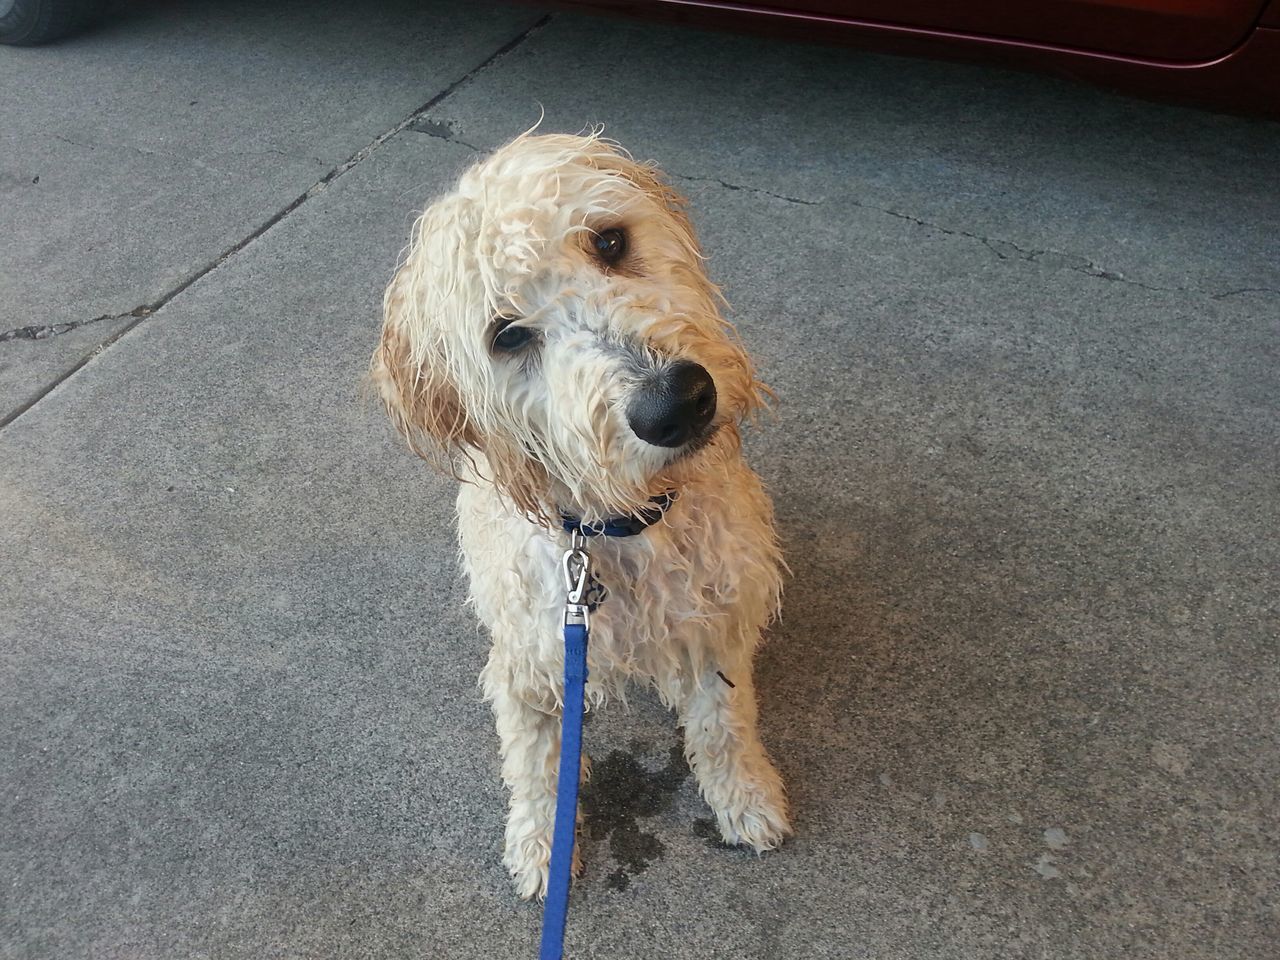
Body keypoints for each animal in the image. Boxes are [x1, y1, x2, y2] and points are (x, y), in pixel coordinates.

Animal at [371, 131, 788, 901]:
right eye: (506, 335)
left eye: (610, 240)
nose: (676, 402)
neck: (623, 528)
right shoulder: (526, 660)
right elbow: (534, 762)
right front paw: (542, 845)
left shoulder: (717, 623)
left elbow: (722, 724)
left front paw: (744, 797)